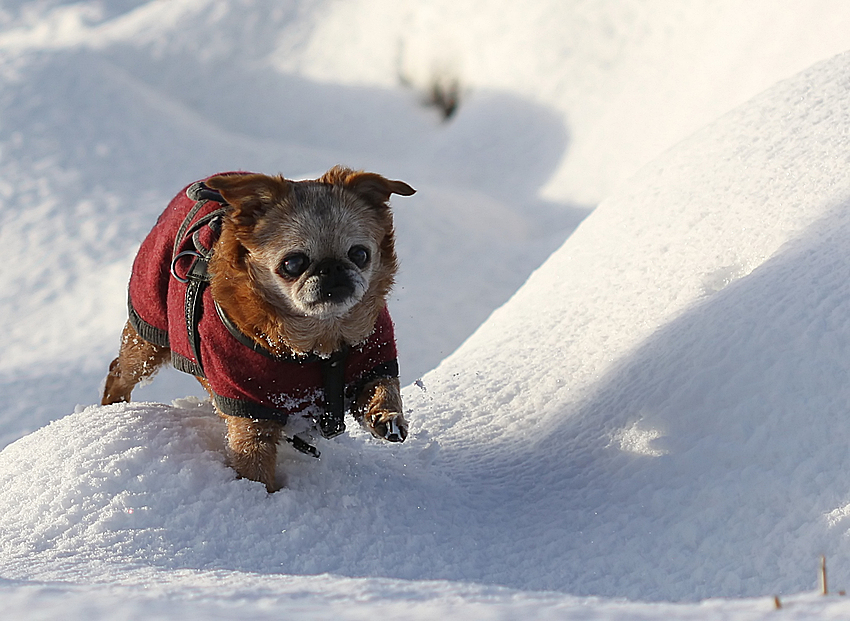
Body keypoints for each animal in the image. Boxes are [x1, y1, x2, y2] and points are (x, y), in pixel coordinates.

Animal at [101, 167, 416, 492]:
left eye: (360, 254)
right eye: (293, 263)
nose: (331, 268)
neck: (320, 341)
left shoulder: (373, 360)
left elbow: (383, 387)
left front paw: (387, 417)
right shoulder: (250, 412)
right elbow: (254, 462)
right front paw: (260, 497)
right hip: (147, 339)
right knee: (119, 372)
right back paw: (112, 409)